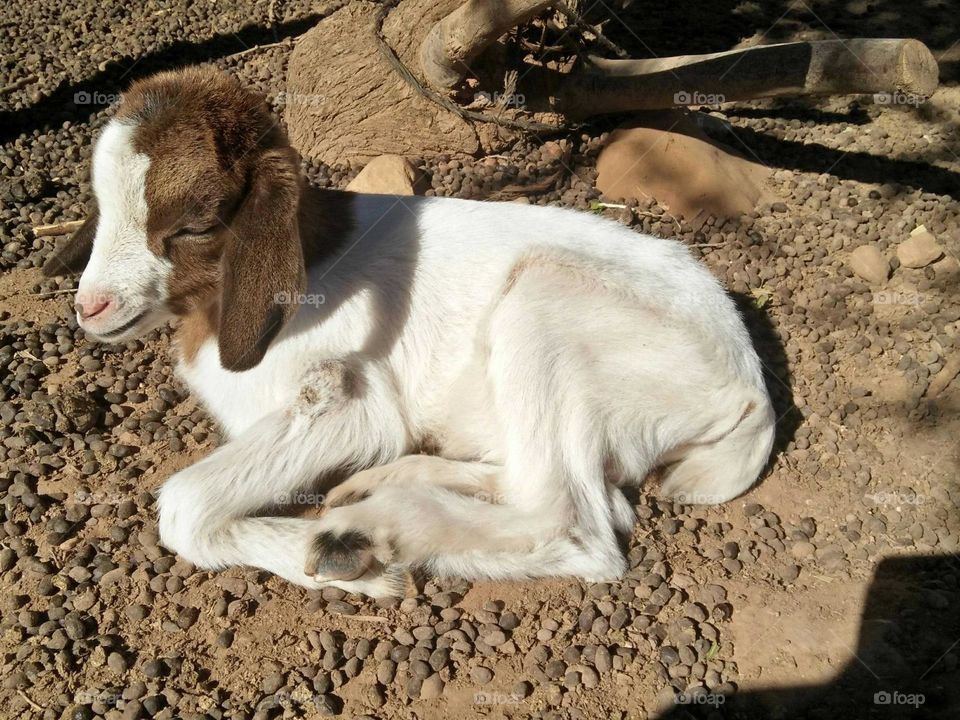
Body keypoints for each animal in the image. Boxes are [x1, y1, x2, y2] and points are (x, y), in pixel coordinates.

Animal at [48, 67, 776, 596]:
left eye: (195, 225)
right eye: (101, 203)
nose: (92, 307)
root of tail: (749, 393)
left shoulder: (350, 403)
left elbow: (184, 504)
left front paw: (357, 571)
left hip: (546, 306)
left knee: (573, 525)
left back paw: (358, 536)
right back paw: (385, 485)